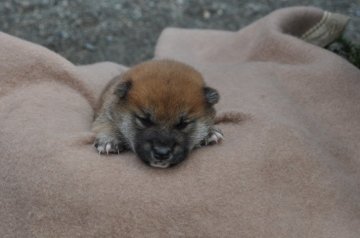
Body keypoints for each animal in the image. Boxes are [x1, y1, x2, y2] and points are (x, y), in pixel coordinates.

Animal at [91, 59, 224, 167]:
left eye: (183, 124)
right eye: (144, 120)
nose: (162, 153)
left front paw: (210, 131)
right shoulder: (105, 113)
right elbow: (104, 124)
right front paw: (109, 140)